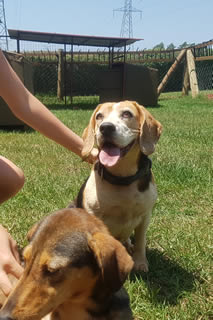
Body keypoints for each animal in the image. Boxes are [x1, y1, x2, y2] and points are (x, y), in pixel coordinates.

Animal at [72, 100, 162, 272]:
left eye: (127, 114)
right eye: (99, 116)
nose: (105, 127)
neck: (122, 177)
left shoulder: (145, 215)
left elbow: (141, 241)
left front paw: (140, 262)